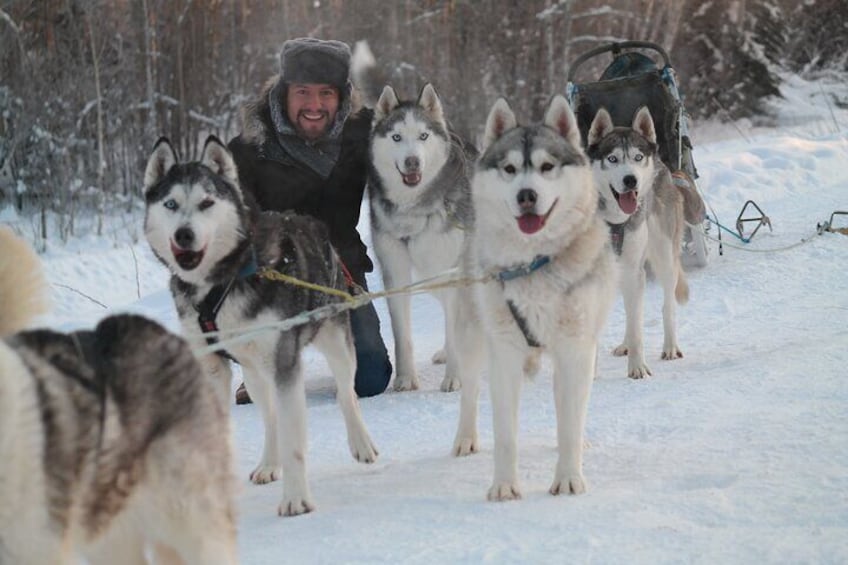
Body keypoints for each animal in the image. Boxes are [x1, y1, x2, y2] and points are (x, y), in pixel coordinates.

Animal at [144, 135, 376, 516]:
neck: (221, 282)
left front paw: (296, 498)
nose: (184, 234)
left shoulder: (285, 364)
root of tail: (309, 221)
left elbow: (295, 440)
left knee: (346, 394)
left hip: (335, 343)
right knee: (270, 418)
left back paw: (361, 442)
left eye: (207, 202)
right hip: (253, 374)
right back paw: (269, 464)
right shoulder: (212, 367)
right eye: (171, 204)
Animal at [454, 96, 612, 498]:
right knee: (469, 391)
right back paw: (465, 438)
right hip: (472, 337)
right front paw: (504, 485)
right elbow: (505, 434)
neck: (533, 264)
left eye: (546, 167)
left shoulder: (575, 348)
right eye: (510, 169)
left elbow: (569, 421)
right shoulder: (505, 353)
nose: (527, 195)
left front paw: (569, 477)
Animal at [588, 107, 704, 378]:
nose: (631, 180)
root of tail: (664, 166)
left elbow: (637, 328)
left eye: (638, 157)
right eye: (612, 159)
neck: (614, 222)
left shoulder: (634, 270)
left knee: (666, 306)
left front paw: (637, 368)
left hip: (663, 258)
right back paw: (625, 345)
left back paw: (670, 347)